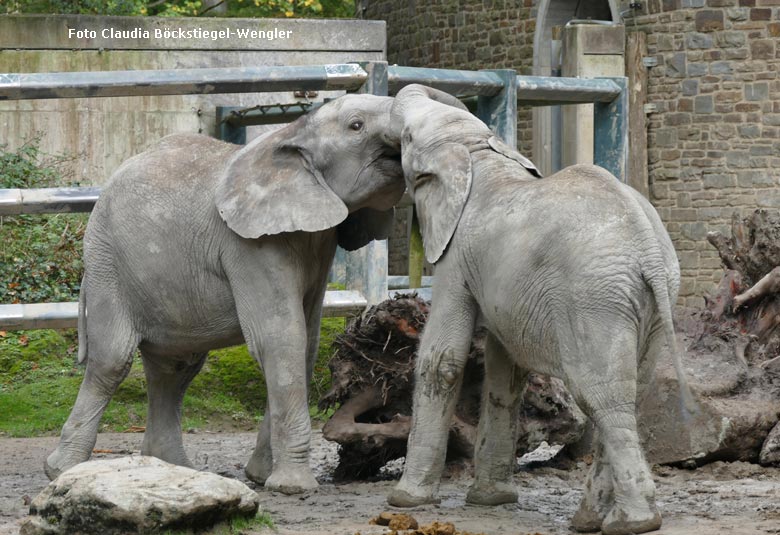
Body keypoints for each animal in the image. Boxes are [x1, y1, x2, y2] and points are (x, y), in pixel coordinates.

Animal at [45, 91, 406, 494]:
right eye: (356, 126)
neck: (292, 133)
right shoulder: (248, 245)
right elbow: (281, 338)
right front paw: (293, 487)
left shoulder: (318, 243)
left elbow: (306, 343)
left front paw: (261, 478)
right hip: (106, 262)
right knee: (112, 361)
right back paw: (61, 470)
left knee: (174, 367)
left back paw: (172, 469)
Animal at [384, 86, 696, 535]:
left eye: (408, 139)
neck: (479, 155)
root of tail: (649, 249)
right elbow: (506, 372)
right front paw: (490, 501)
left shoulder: (456, 257)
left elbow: (442, 359)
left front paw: (405, 501)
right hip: (656, 300)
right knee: (631, 393)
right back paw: (591, 520)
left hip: (593, 301)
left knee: (602, 398)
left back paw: (632, 523)